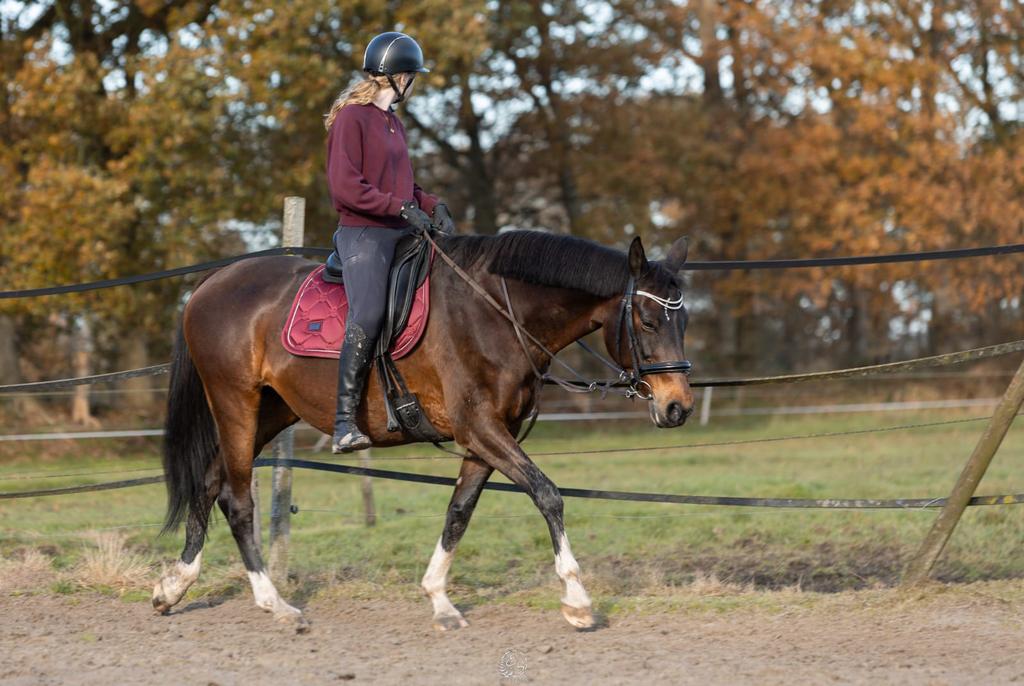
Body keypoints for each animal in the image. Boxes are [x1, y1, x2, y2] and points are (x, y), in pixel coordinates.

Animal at [152, 230, 695, 631]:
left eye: (684, 321)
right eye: (648, 321)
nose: (678, 407)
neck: (495, 313)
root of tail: (209, 285)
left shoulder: (489, 436)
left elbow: (459, 511)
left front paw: (439, 600)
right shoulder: (480, 428)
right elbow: (547, 494)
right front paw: (578, 601)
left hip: (272, 411)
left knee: (211, 483)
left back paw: (173, 587)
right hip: (235, 403)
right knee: (238, 500)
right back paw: (275, 604)